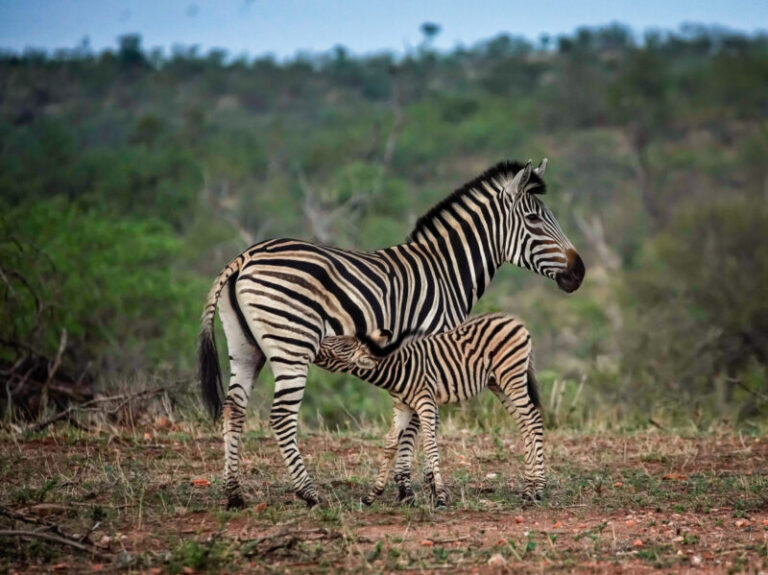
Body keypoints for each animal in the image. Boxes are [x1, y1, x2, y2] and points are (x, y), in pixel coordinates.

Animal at [315, 312, 541, 507]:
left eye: (341, 345)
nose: (316, 342)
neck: (397, 369)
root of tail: (514, 321)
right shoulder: (402, 407)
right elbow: (390, 444)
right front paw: (372, 495)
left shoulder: (425, 402)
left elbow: (430, 446)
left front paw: (440, 497)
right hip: (498, 383)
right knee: (524, 423)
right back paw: (528, 487)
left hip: (511, 376)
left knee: (533, 419)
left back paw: (537, 489)